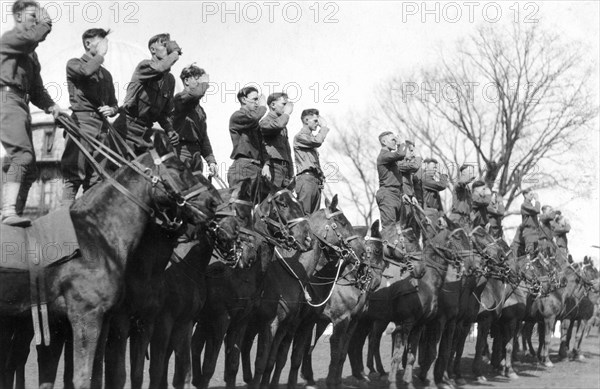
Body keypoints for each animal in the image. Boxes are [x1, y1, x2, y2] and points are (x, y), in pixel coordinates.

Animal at [0, 133, 220, 388]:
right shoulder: (87, 317)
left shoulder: (102, 321)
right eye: (180, 168)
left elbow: (97, 375)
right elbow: (83, 377)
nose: (212, 204)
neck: (97, 235)